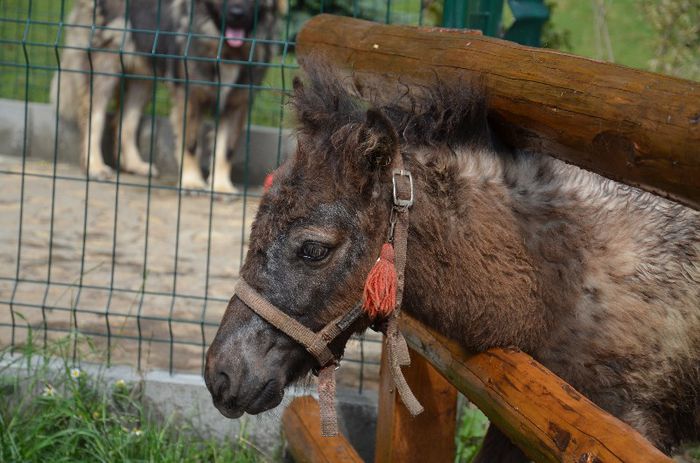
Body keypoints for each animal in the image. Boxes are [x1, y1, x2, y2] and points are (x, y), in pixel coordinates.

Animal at [53, 0, 282, 195]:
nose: (237, 14)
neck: (226, 51)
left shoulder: (238, 103)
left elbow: (226, 149)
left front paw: (221, 186)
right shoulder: (189, 98)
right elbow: (190, 144)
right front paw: (191, 182)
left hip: (143, 79)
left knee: (125, 122)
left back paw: (134, 164)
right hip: (105, 67)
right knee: (94, 119)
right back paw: (94, 166)